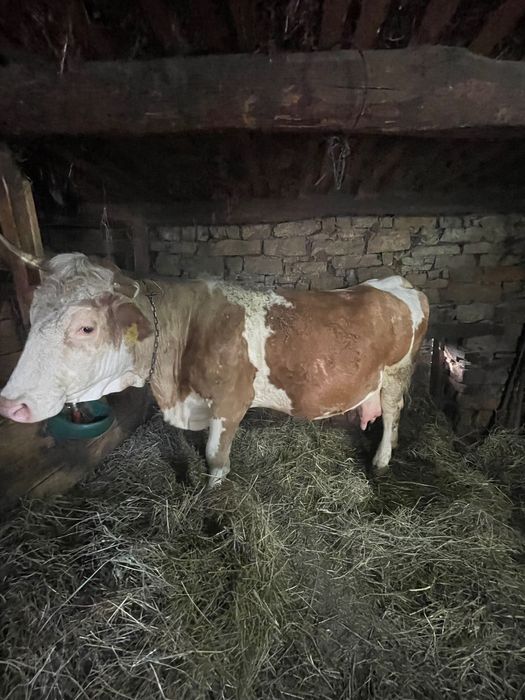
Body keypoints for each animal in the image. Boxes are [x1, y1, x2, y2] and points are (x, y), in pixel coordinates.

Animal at [0, 237, 429, 486]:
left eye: (86, 327)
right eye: (33, 312)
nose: (12, 404)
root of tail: (395, 283)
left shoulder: (231, 403)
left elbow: (215, 458)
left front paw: (215, 498)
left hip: (396, 373)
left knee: (393, 411)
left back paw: (382, 460)